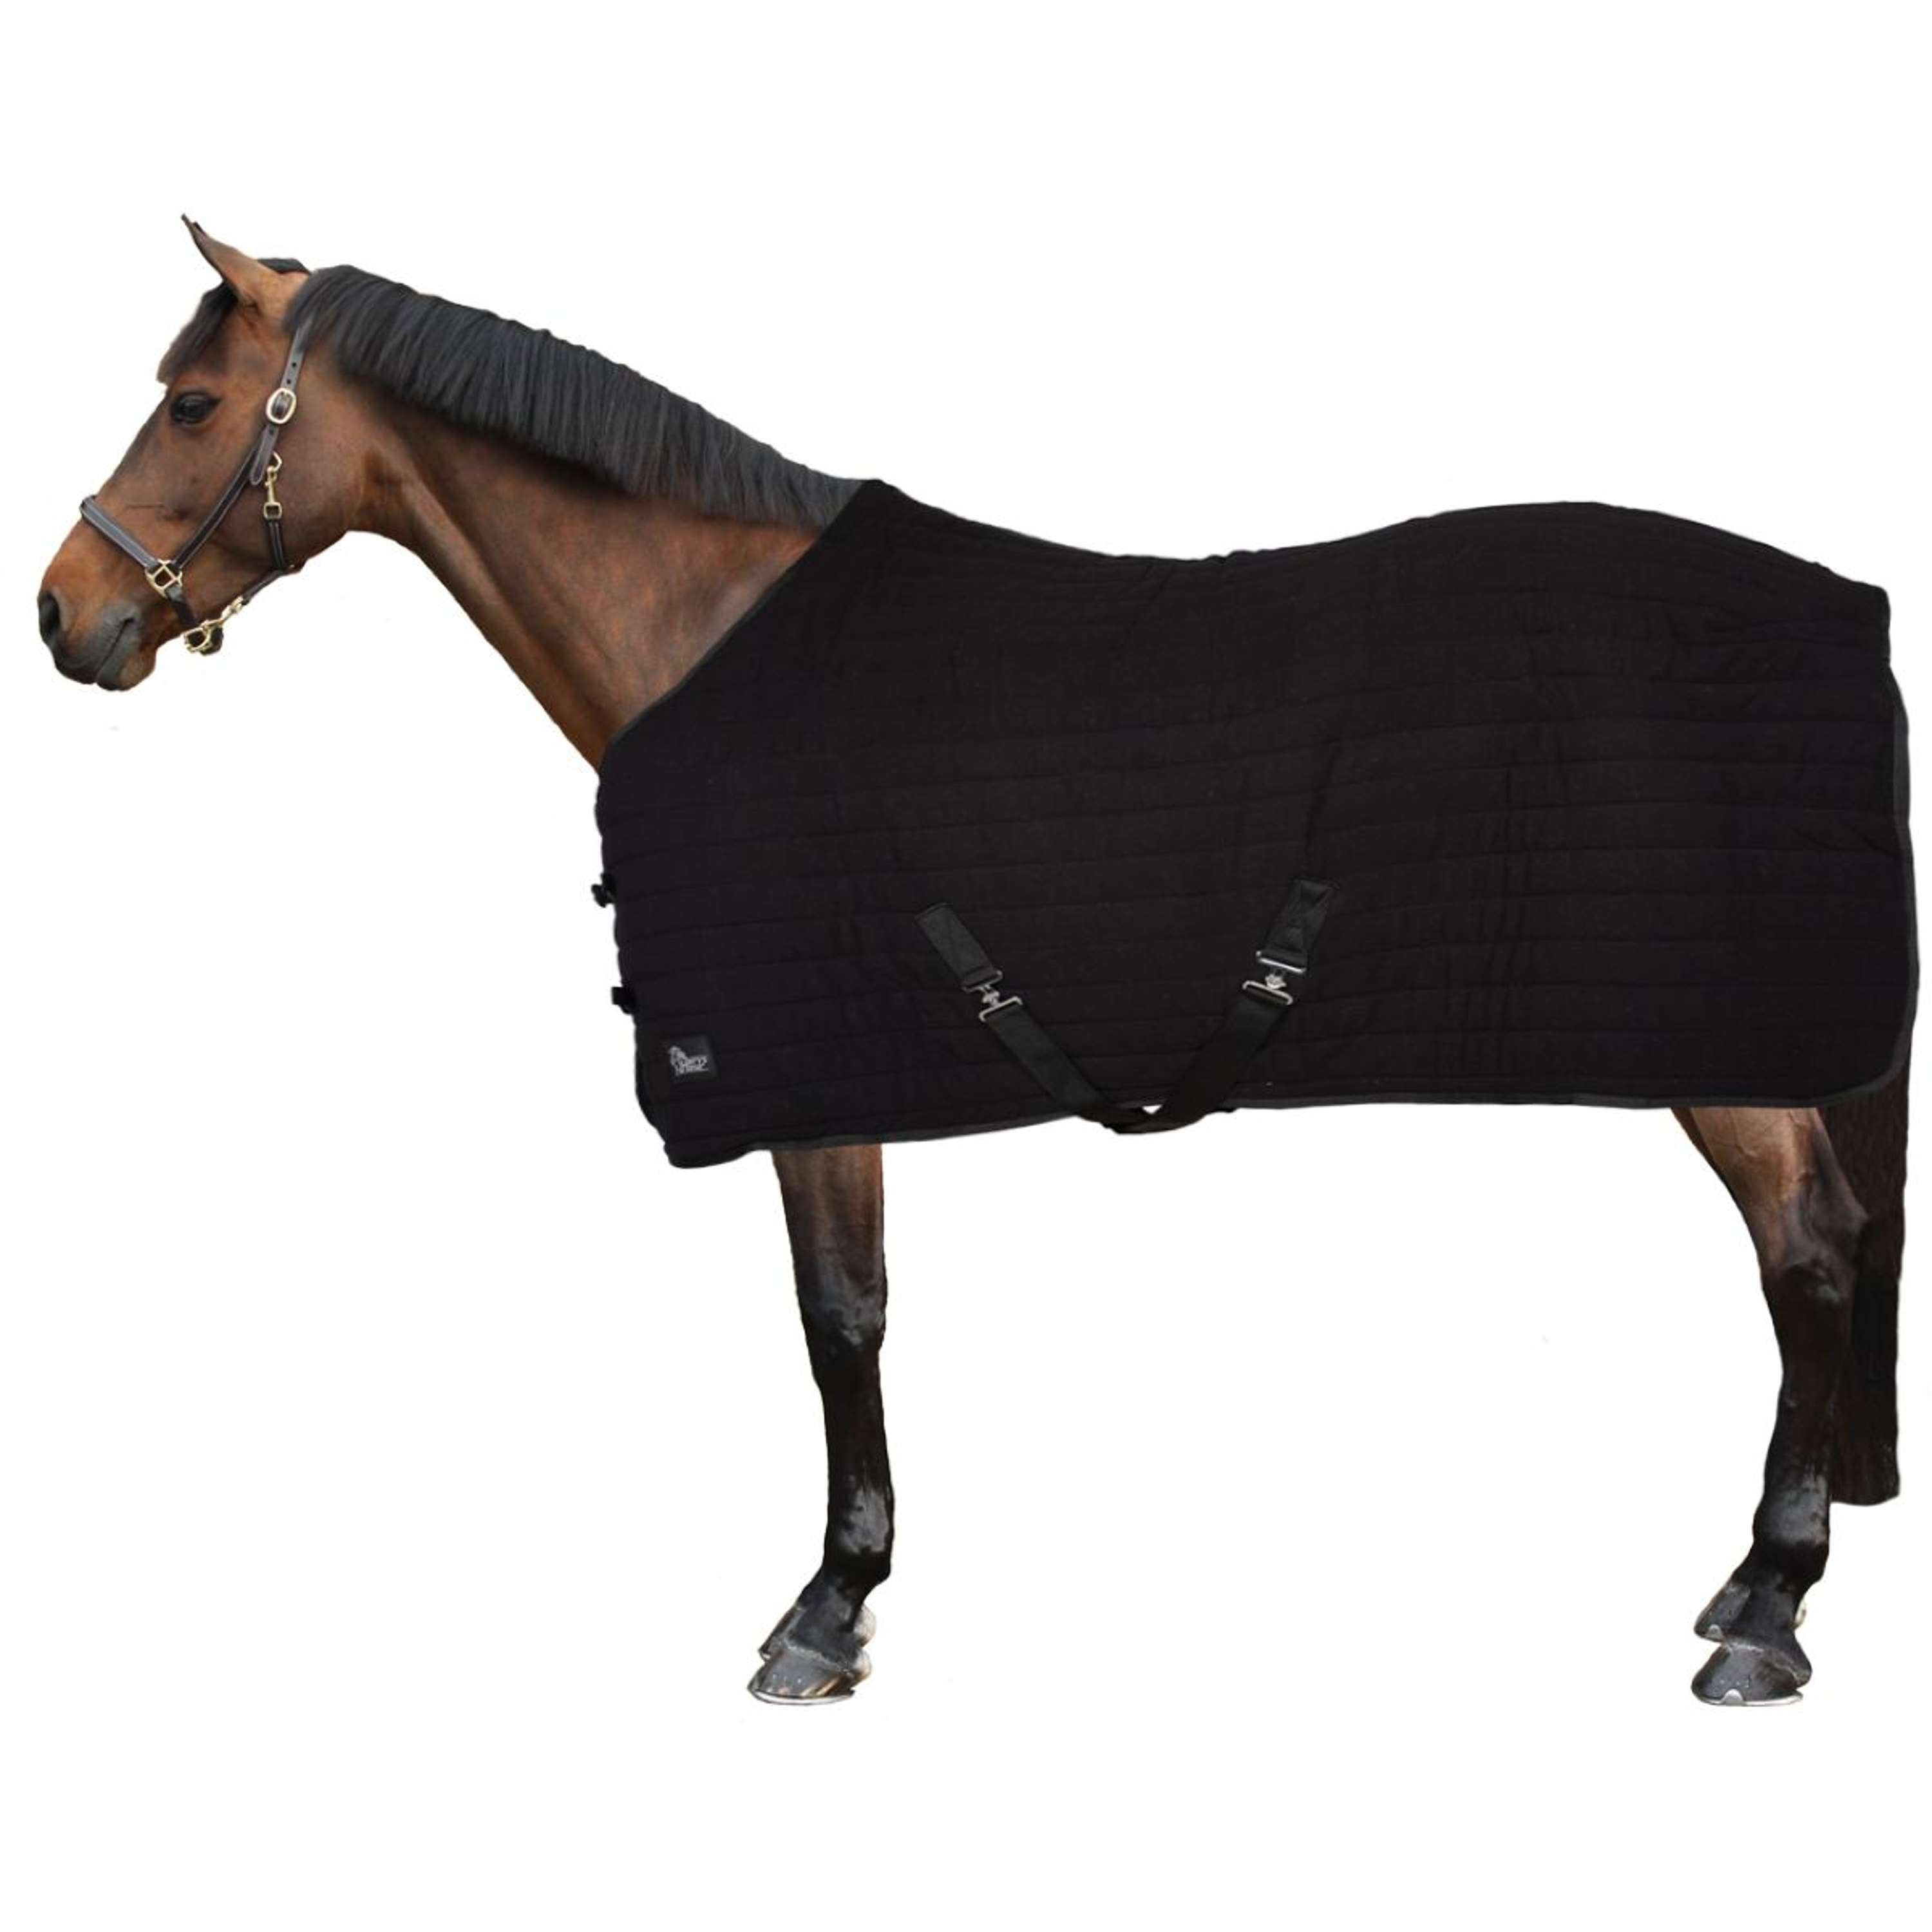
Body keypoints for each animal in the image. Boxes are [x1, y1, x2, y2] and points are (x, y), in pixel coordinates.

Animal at [37, 222, 1910, 1707]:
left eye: (193, 405)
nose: (65, 616)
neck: (709, 635)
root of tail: (1841, 609)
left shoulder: (810, 1074)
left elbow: (839, 1317)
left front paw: (825, 1608)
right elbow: (852, 1310)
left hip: (1724, 1047)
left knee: (1810, 1252)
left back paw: (1767, 1612)